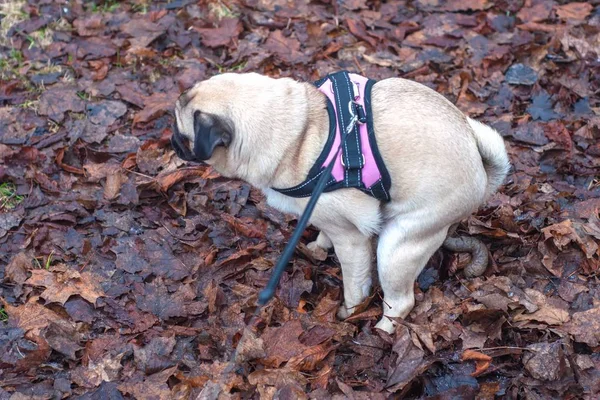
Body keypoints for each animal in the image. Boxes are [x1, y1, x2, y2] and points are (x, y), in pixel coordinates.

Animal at [171, 72, 508, 334]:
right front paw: (319, 246)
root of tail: (480, 168)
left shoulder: (351, 239)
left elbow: (354, 285)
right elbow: (322, 230)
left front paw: (350, 314)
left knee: (400, 301)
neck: (298, 132)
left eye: (182, 133)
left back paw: (382, 331)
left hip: (398, 244)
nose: (171, 140)